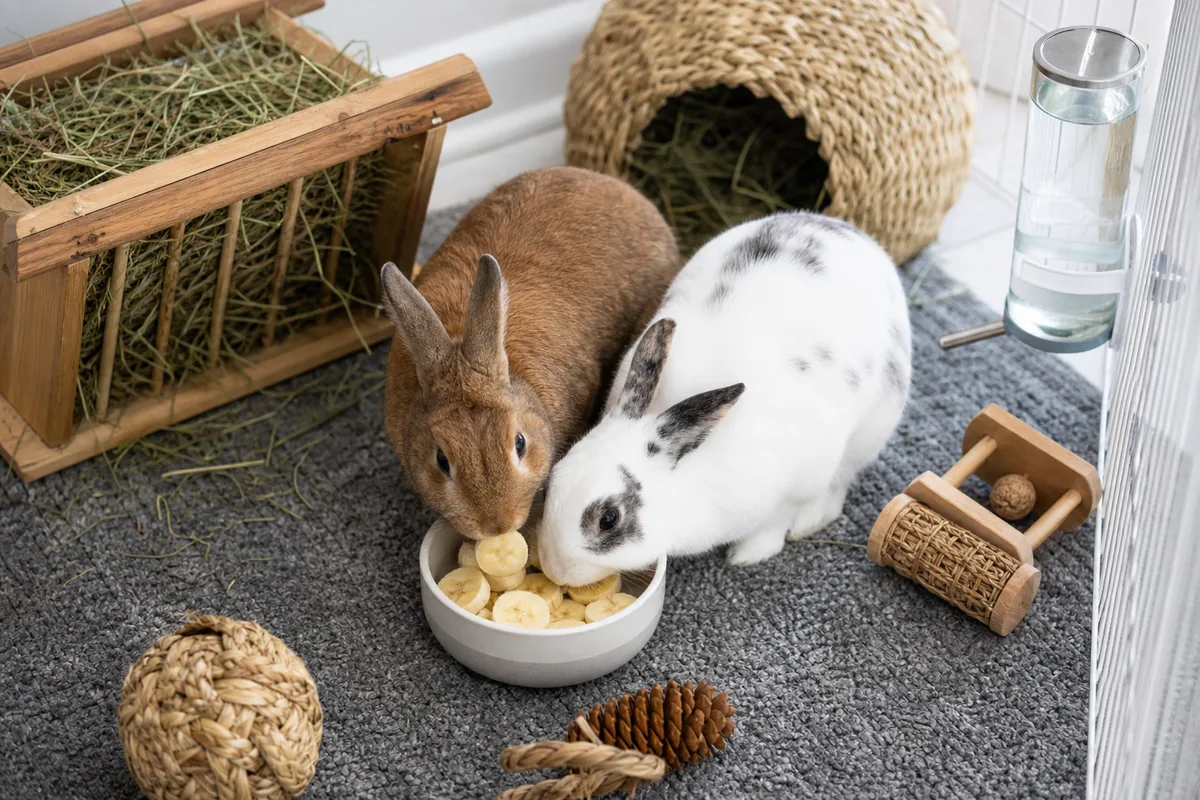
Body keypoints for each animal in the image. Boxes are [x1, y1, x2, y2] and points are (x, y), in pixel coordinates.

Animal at [535, 211, 912, 586]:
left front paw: (749, 555)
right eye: (555, 479)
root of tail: (851, 232)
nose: (556, 571)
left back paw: (809, 523)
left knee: (840, 486)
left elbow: (775, 522)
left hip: (868, 434)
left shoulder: (796, 484)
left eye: (609, 519)